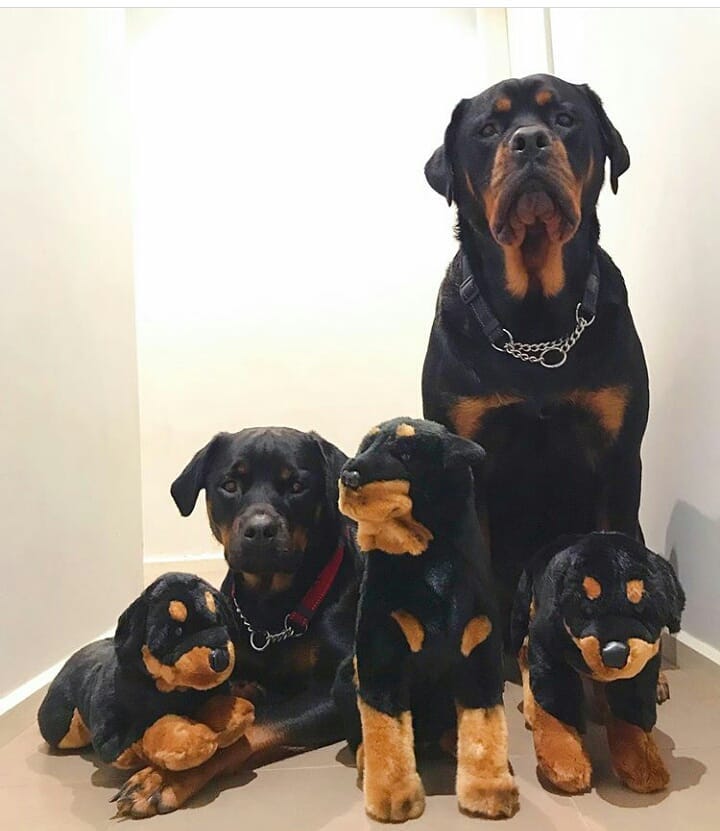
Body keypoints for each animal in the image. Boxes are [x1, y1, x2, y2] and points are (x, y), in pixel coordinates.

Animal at [113, 428, 360, 820]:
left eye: (297, 486)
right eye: (229, 485)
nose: (260, 530)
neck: (270, 604)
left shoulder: (332, 693)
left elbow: (244, 731)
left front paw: (163, 779)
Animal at [422, 75, 648, 648]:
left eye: (565, 119)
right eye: (487, 129)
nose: (528, 141)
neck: (536, 326)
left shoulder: (618, 458)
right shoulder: (469, 467)